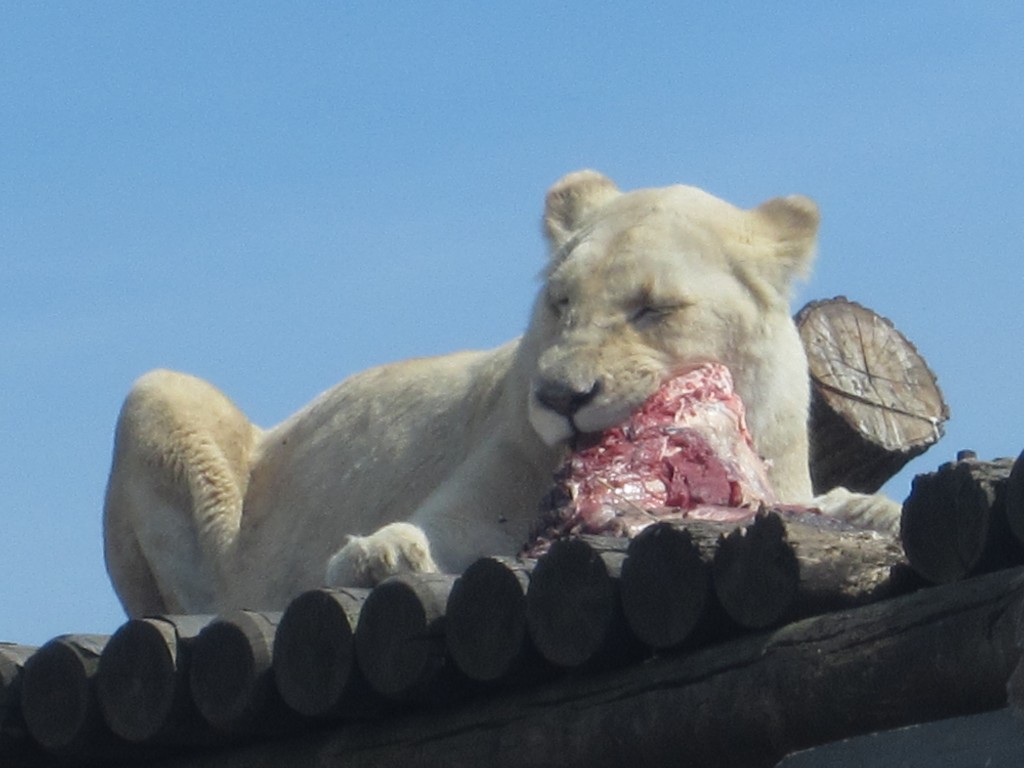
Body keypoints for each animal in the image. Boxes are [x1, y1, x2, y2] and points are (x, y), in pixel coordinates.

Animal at [103, 170, 899, 617]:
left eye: (650, 308)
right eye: (561, 302)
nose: (561, 396)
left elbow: (821, 504)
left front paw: (869, 508)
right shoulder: (488, 479)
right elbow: (432, 533)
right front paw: (381, 556)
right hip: (157, 391)